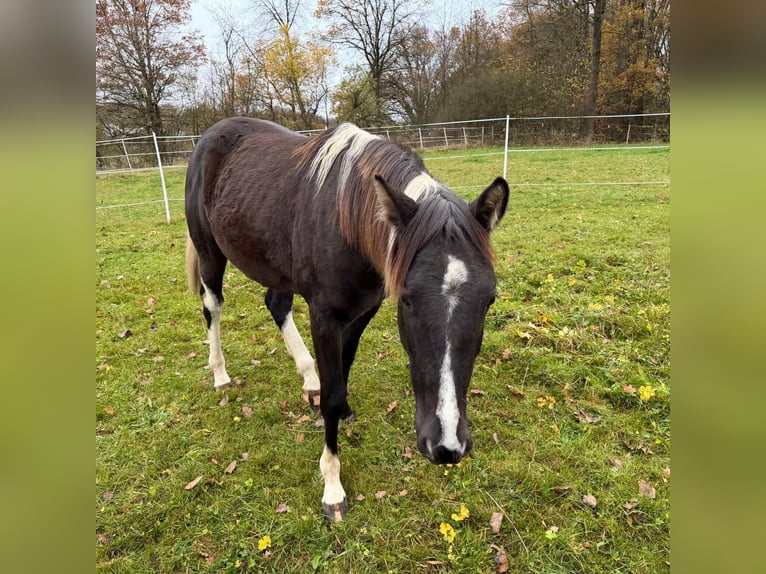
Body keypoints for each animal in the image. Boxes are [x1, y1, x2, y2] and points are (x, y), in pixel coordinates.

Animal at [184, 117, 509, 521]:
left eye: (489, 299)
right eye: (407, 299)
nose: (447, 446)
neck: (347, 223)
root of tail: (212, 134)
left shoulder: (364, 309)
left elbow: (344, 367)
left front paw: (337, 404)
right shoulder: (323, 315)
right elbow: (333, 393)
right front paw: (333, 486)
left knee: (276, 303)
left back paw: (309, 378)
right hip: (209, 252)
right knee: (212, 306)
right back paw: (221, 374)